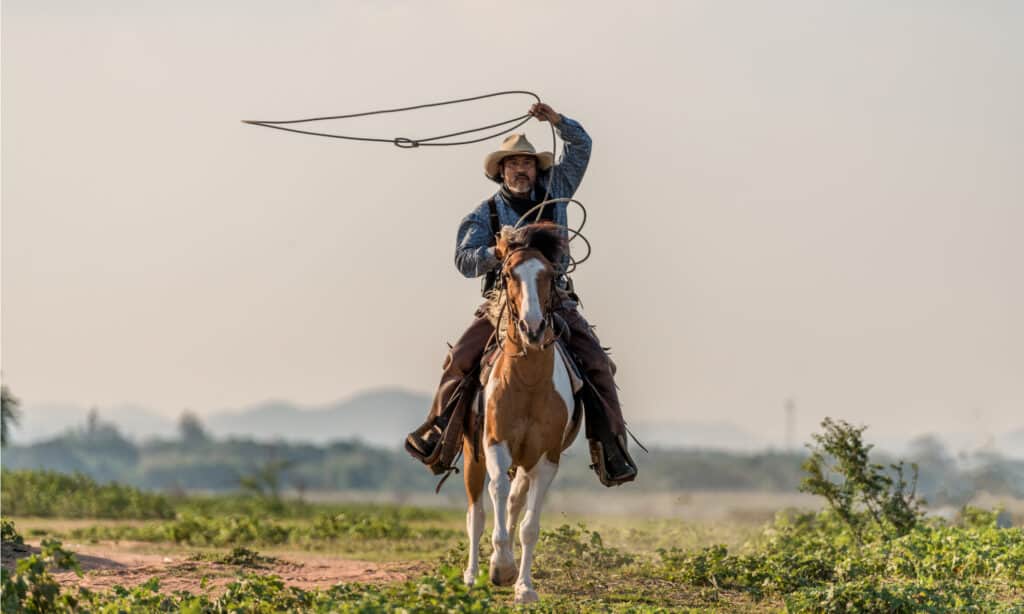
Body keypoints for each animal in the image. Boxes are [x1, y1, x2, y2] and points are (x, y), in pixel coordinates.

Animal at [460, 222, 581, 605]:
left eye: (549, 275)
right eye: (509, 274)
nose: (533, 327)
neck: (528, 382)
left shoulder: (546, 457)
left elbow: (529, 526)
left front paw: (523, 585)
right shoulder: (495, 443)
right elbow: (496, 492)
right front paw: (499, 565)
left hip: (526, 460)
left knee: (515, 502)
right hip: (472, 453)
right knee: (477, 513)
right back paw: (472, 575)